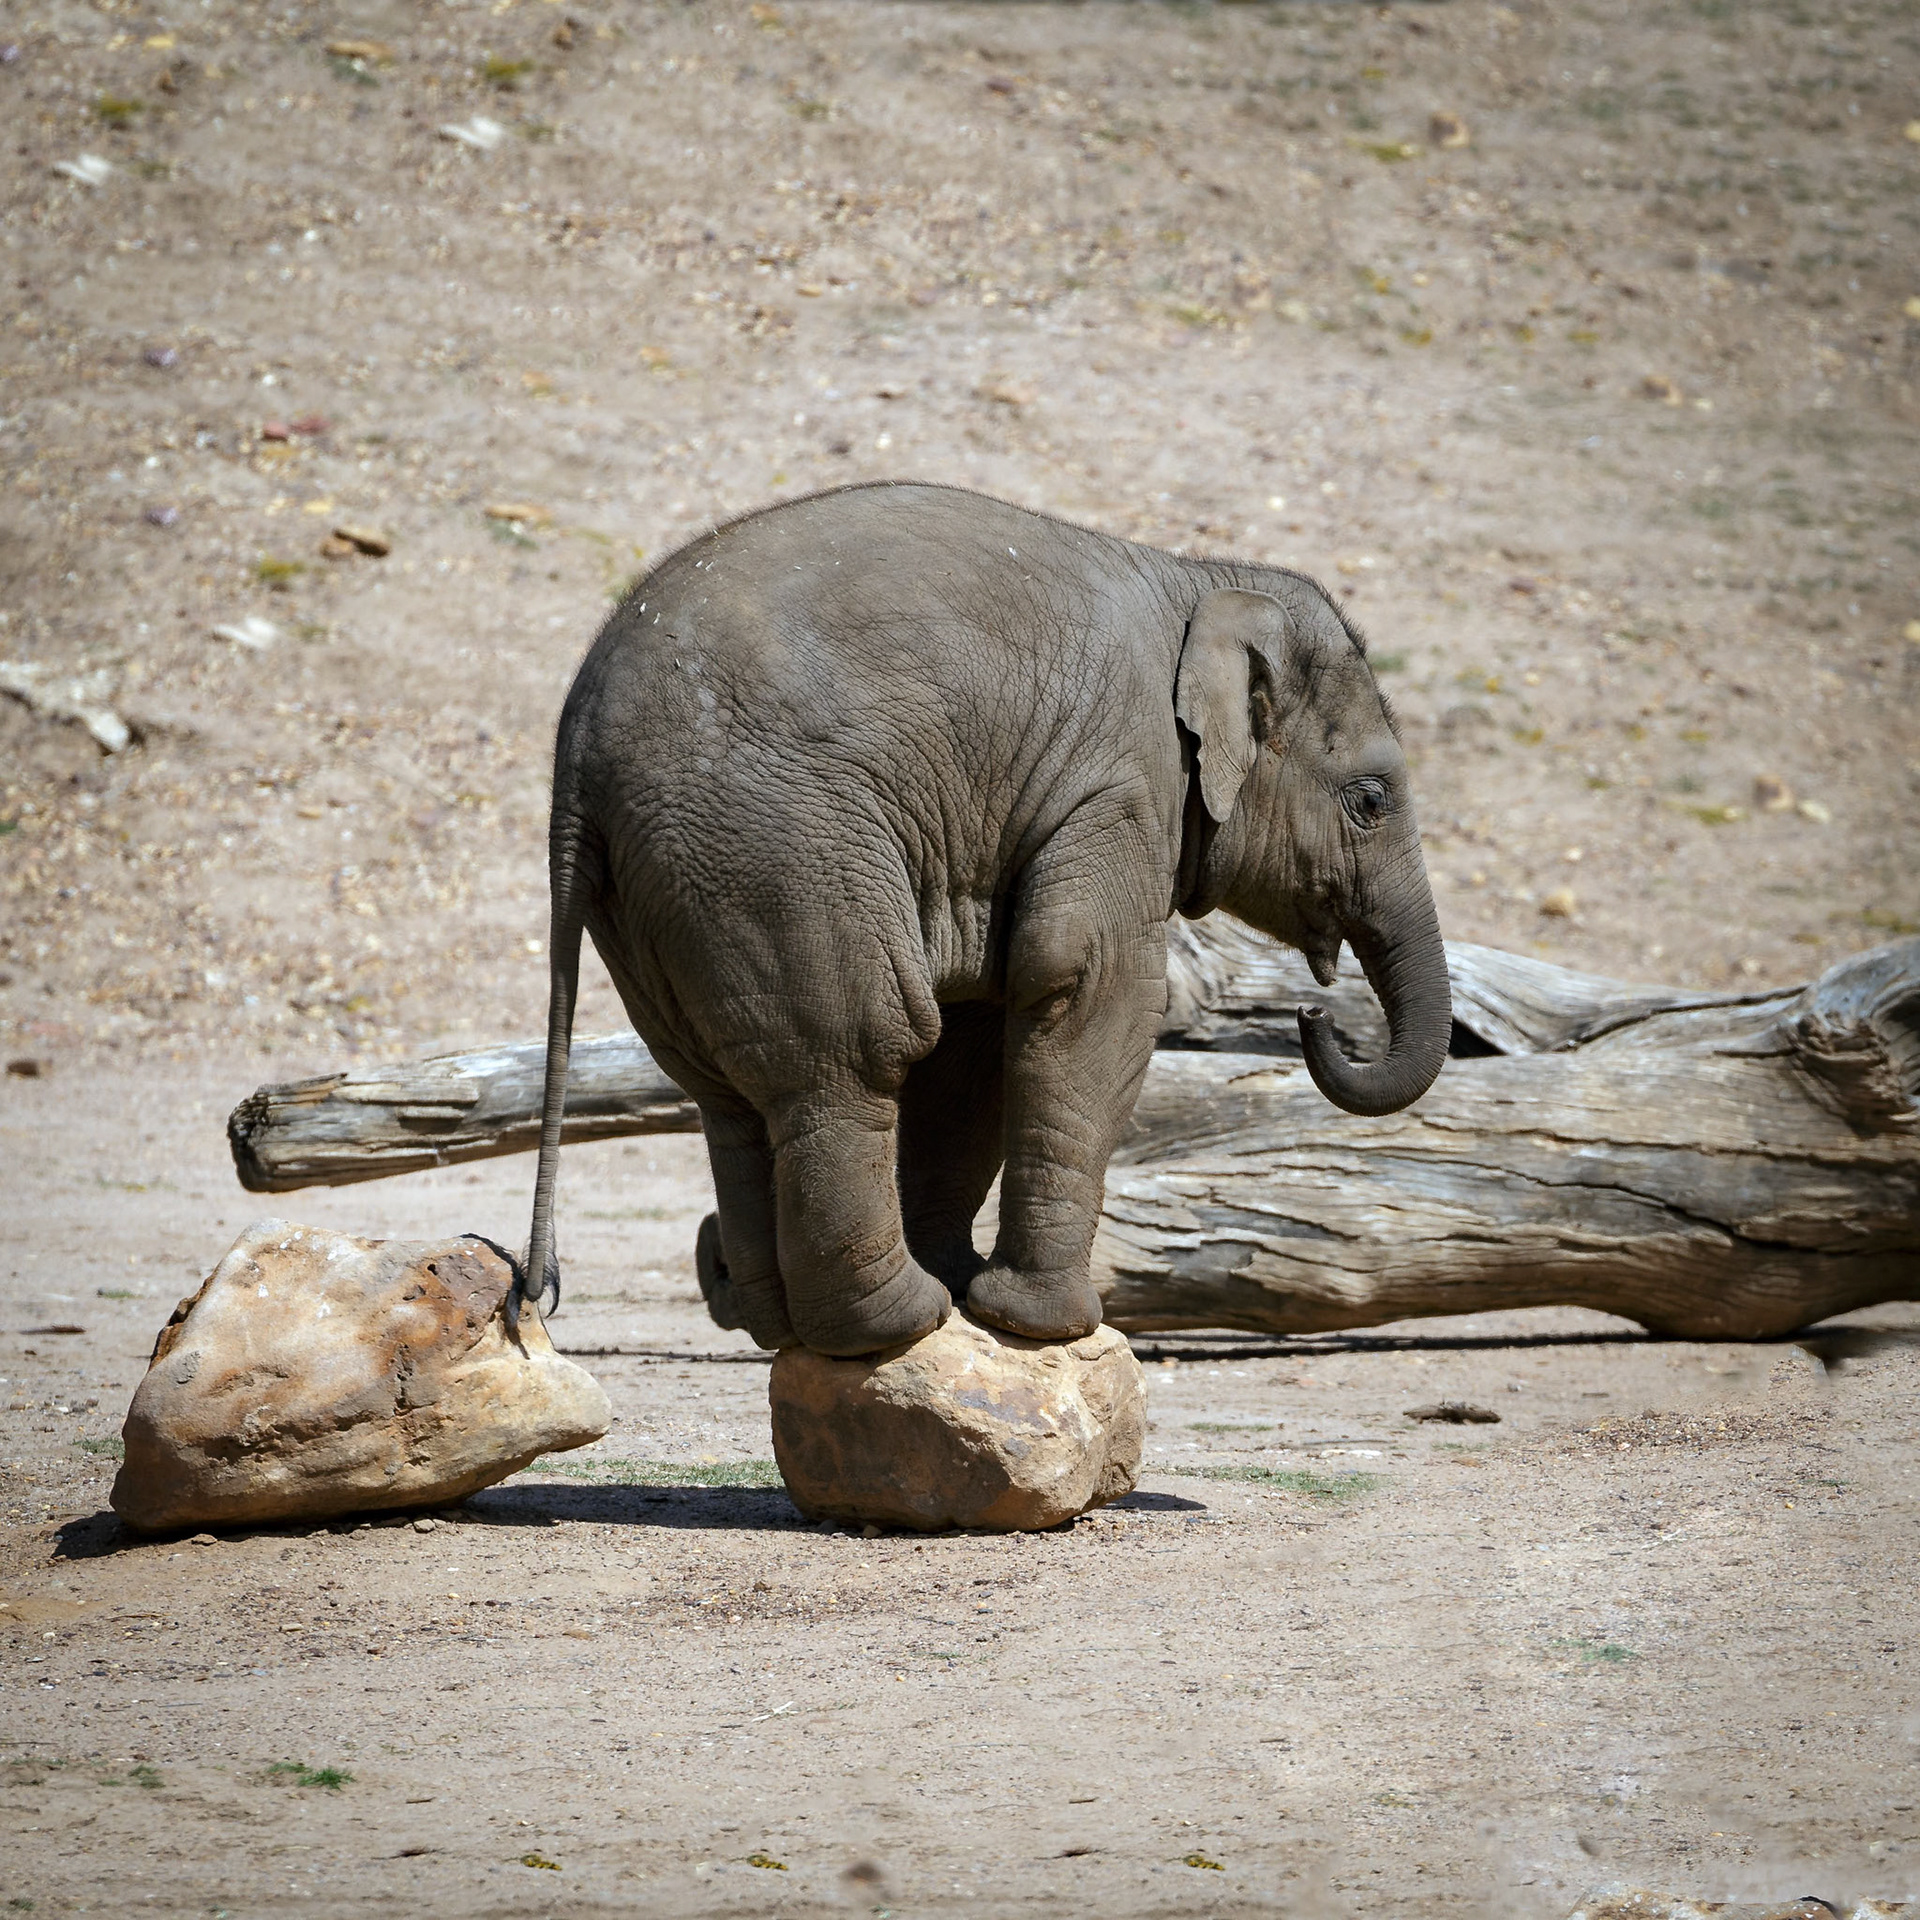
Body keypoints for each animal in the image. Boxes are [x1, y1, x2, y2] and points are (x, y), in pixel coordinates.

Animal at [519, 482, 1449, 1356]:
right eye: (1369, 802)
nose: (1312, 1014)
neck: (1202, 580)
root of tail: (576, 747)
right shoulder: (1121, 784)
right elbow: (1092, 988)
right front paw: (1043, 1324)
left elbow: (978, 1039)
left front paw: (976, 1291)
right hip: (770, 848)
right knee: (856, 1050)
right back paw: (898, 1323)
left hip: (657, 894)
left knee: (727, 1092)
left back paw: (791, 1327)